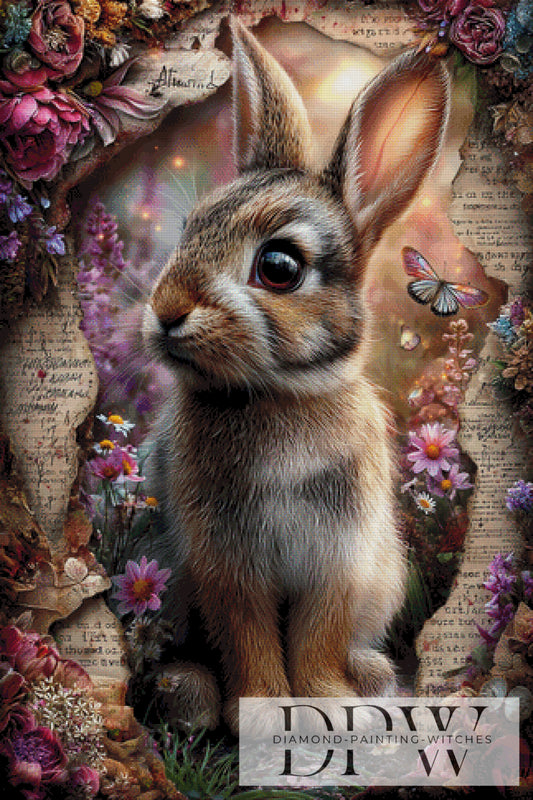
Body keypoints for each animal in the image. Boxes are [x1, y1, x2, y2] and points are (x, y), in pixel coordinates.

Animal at [140, 17, 450, 735]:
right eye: (189, 229)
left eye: (279, 267)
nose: (165, 311)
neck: (277, 394)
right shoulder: (225, 562)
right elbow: (247, 633)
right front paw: (257, 711)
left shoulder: (338, 558)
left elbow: (317, 634)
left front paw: (328, 703)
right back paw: (188, 694)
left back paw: (371, 677)